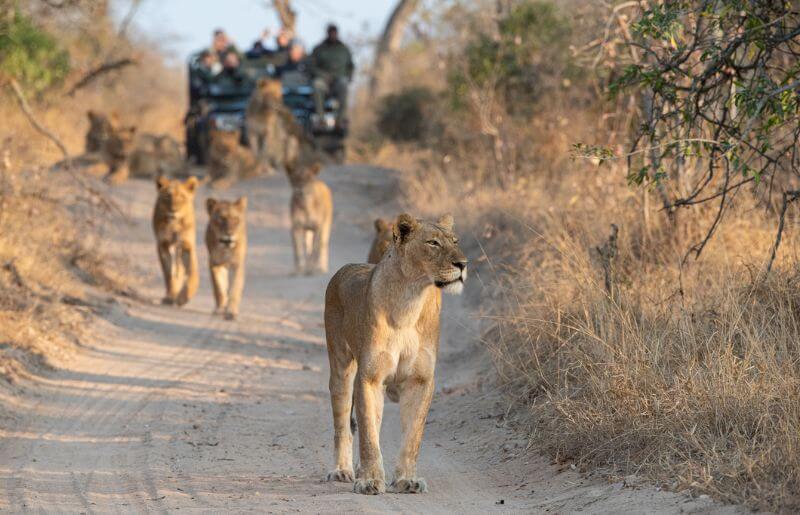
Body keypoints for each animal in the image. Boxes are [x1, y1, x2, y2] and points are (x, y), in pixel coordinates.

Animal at [152, 176, 200, 306]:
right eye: (167, 197)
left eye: (182, 197)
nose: (173, 210)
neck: (174, 224)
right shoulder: (163, 245)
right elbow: (168, 274)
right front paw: (171, 296)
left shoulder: (187, 245)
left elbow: (192, 272)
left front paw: (184, 297)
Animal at [323, 213, 468, 495]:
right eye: (433, 243)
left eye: (455, 241)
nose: (463, 264)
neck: (410, 300)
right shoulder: (369, 378)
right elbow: (368, 436)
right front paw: (369, 481)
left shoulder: (420, 380)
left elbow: (412, 436)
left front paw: (406, 480)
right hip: (341, 368)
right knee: (344, 426)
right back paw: (342, 470)